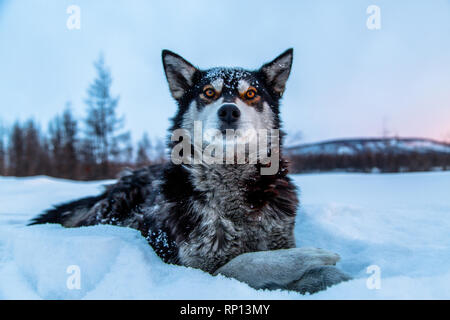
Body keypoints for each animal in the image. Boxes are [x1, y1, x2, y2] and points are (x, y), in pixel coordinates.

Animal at [29, 49, 350, 292]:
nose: (229, 110)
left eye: (250, 93)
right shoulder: (196, 267)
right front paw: (309, 256)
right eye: (209, 92)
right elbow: (246, 263)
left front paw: (335, 278)